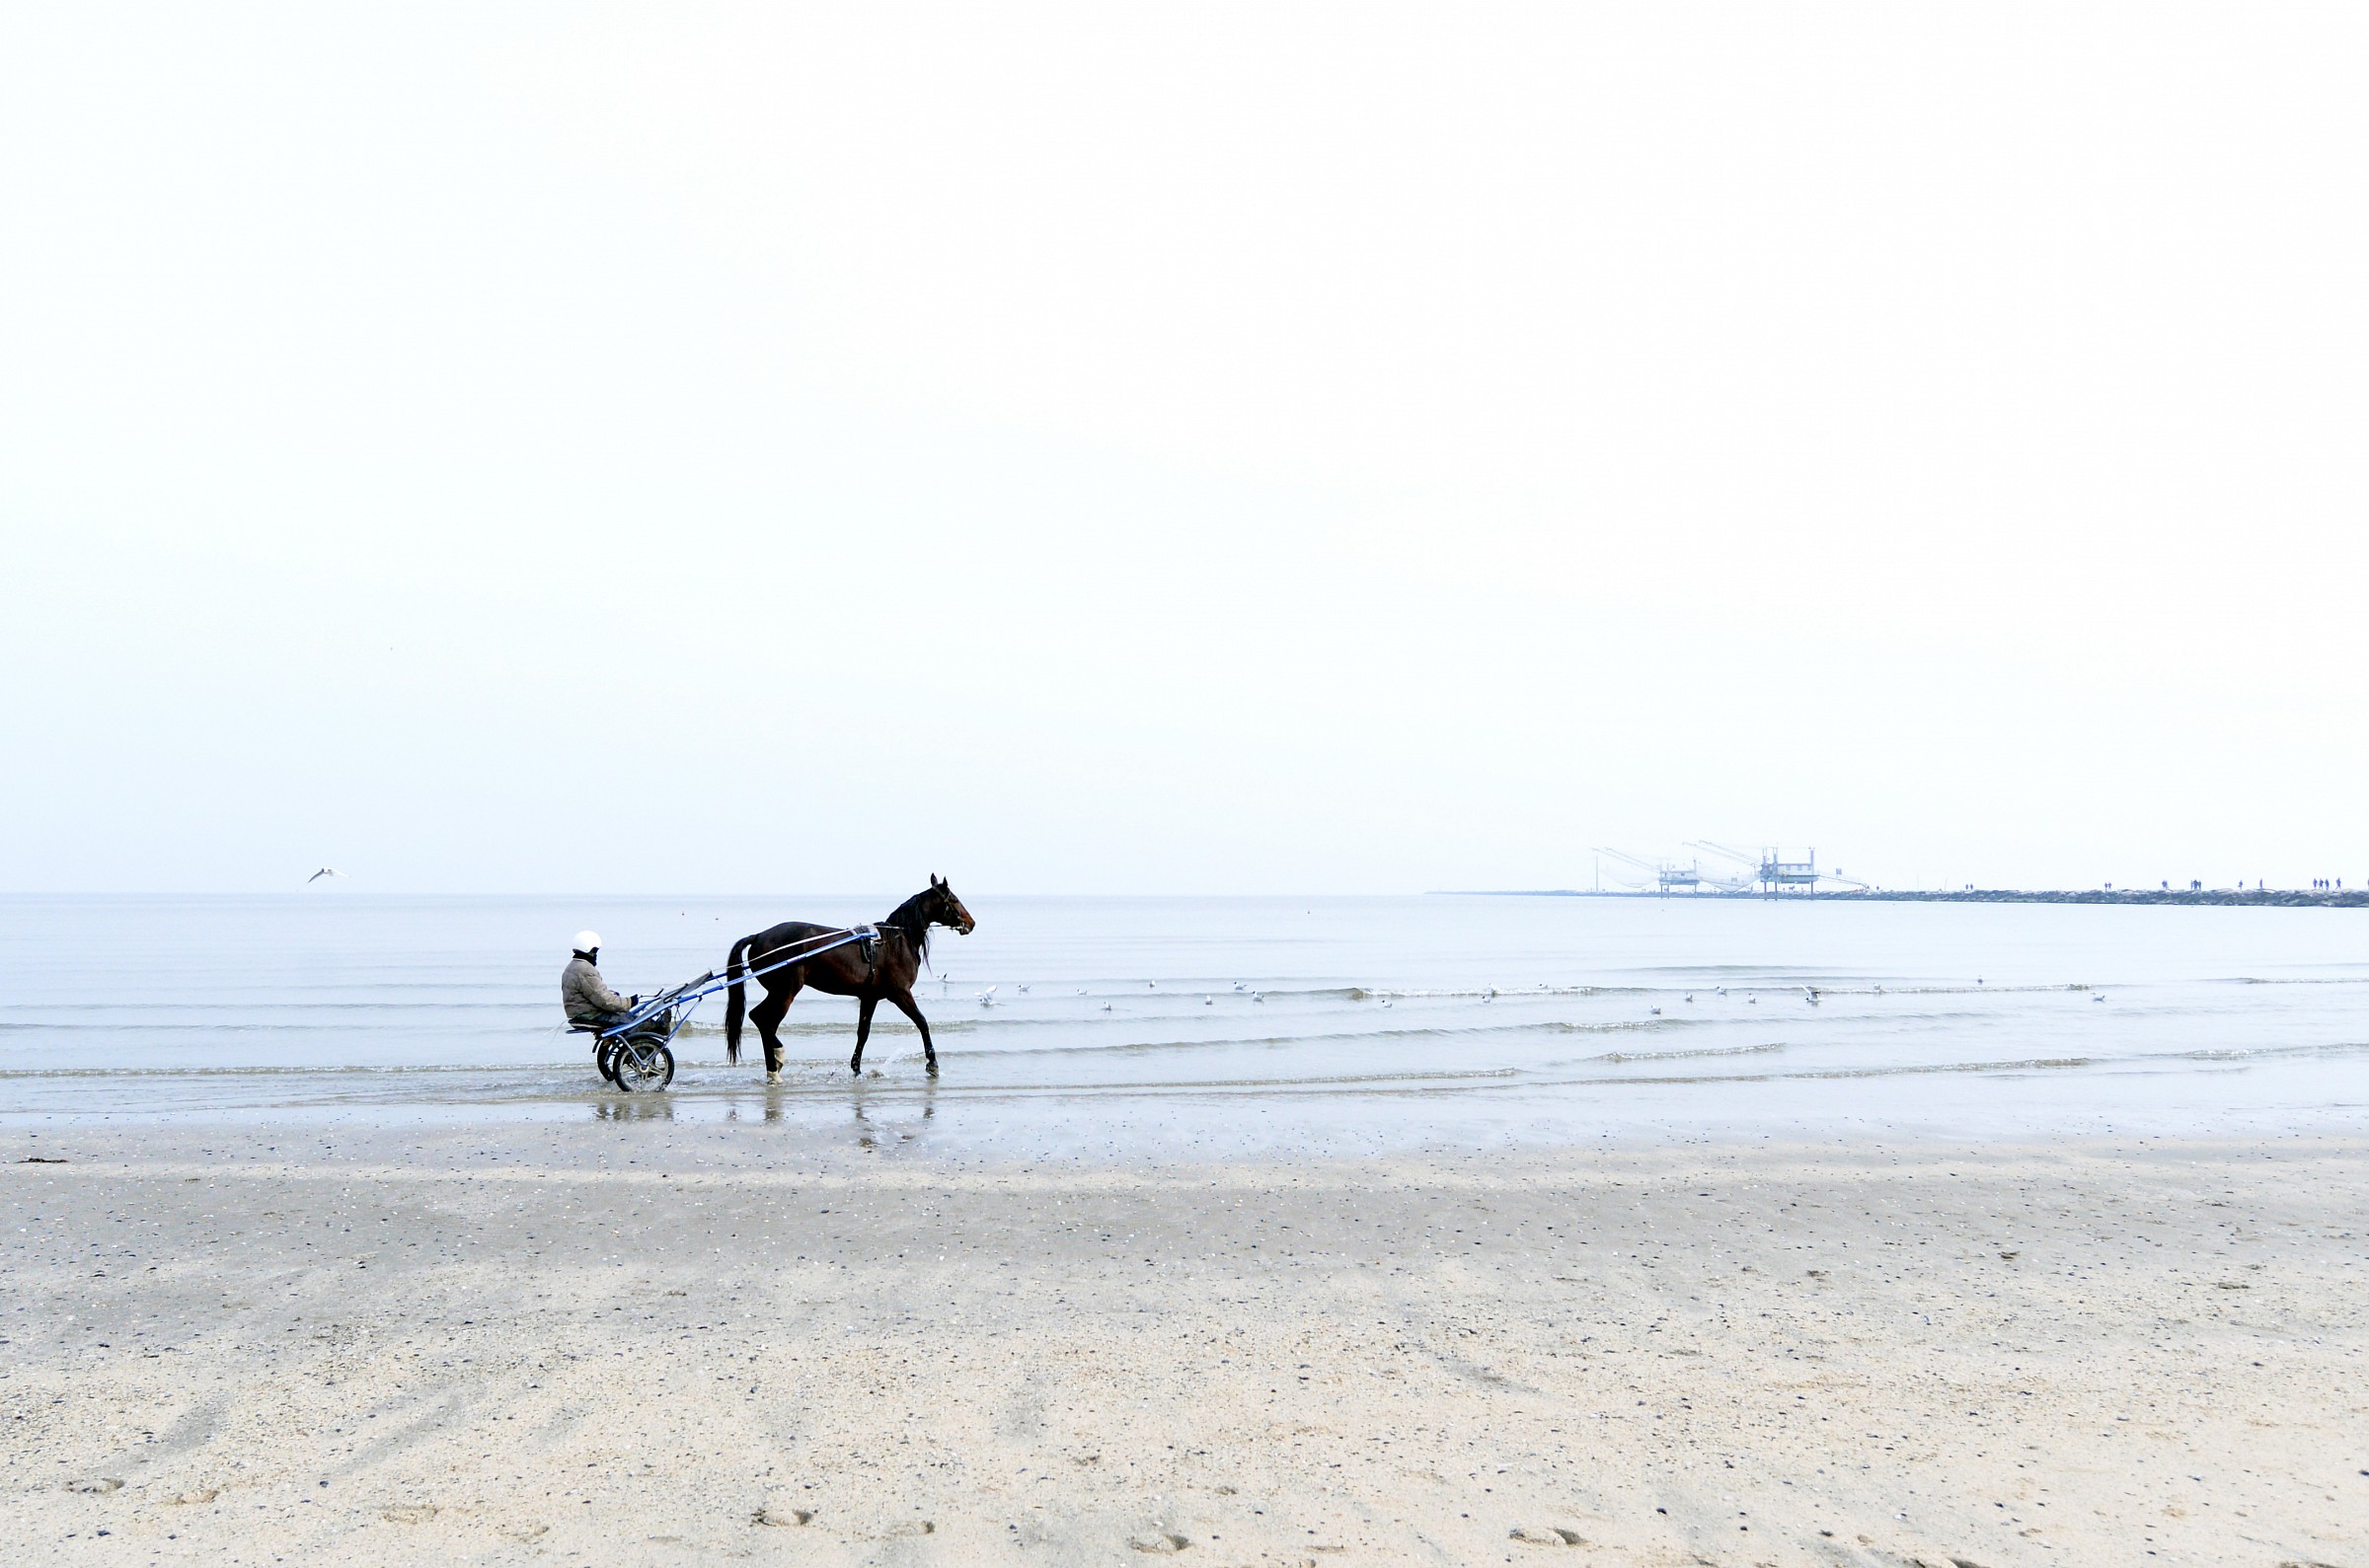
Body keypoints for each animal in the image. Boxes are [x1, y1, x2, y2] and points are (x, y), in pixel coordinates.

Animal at [722, 876, 977, 1079]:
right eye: (954, 899)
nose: (971, 923)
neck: (894, 943)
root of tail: (759, 936)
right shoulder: (900, 993)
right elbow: (922, 1022)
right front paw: (932, 1062)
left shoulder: (870, 997)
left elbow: (863, 1032)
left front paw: (856, 1068)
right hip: (785, 991)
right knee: (764, 1021)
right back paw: (775, 1064)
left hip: (779, 991)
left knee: (761, 1020)